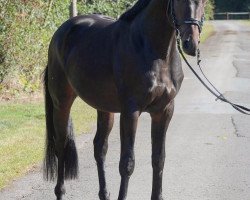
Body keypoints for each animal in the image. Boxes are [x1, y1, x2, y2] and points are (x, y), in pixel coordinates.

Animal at [43, 0, 207, 199]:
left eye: (204, 2)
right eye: (178, 1)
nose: (190, 43)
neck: (151, 49)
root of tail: (60, 33)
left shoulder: (164, 111)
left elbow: (159, 159)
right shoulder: (130, 112)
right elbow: (127, 164)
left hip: (104, 108)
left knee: (100, 148)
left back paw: (104, 193)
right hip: (62, 103)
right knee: (61, 145)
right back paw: (60, 191)